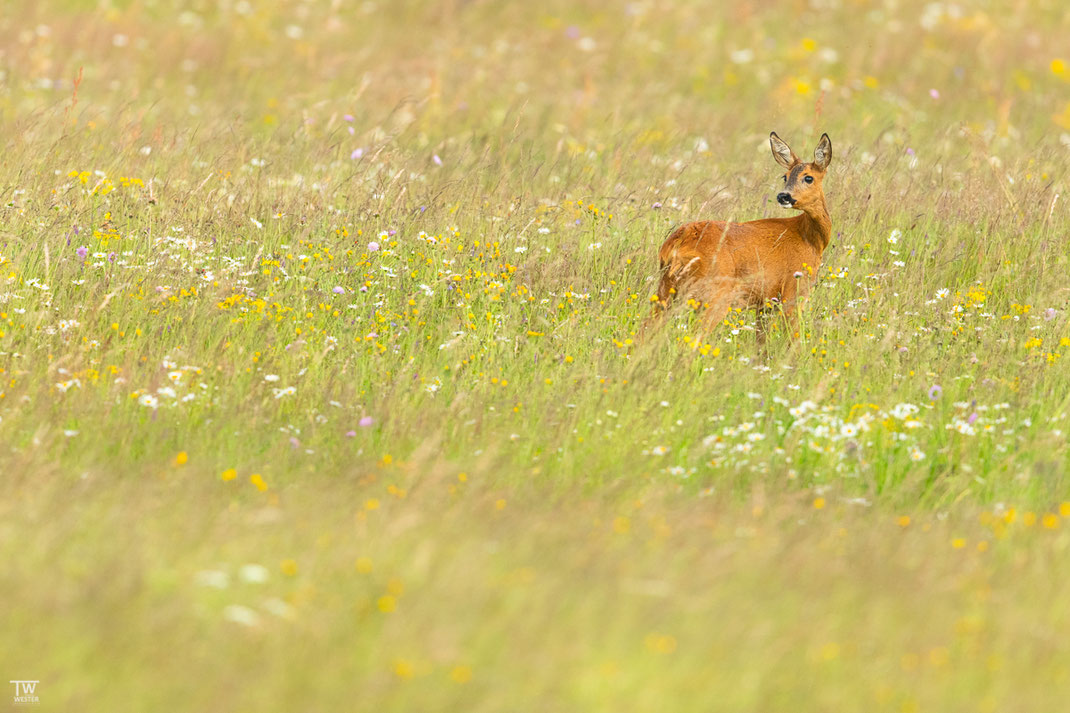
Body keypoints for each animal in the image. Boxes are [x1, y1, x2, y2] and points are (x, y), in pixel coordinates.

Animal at [650, 133, 834, 346]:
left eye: (808, 177)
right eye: (785, 176)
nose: (783, 196)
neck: (810, 239)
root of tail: (677, 242)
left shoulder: (765, 303)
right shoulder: (795, 290)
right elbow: (793, 340)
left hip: (666, 289)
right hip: (715, 294)